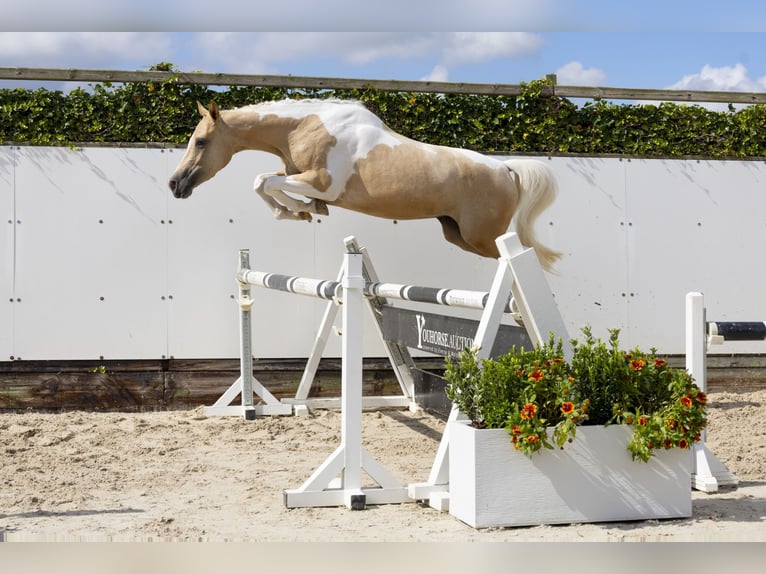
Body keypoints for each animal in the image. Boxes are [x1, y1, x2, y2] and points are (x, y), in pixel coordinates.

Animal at [168, 98, 560, 270]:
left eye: (200, 142)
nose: (174, 185)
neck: (304, 126)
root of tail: (505, 167)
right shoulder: (301, 177)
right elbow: (266, 183)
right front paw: (301, 211)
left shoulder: (322, 183)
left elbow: (263, 181)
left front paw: (299, 210)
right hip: (458, 235)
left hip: (483, 236)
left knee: (523, 257)